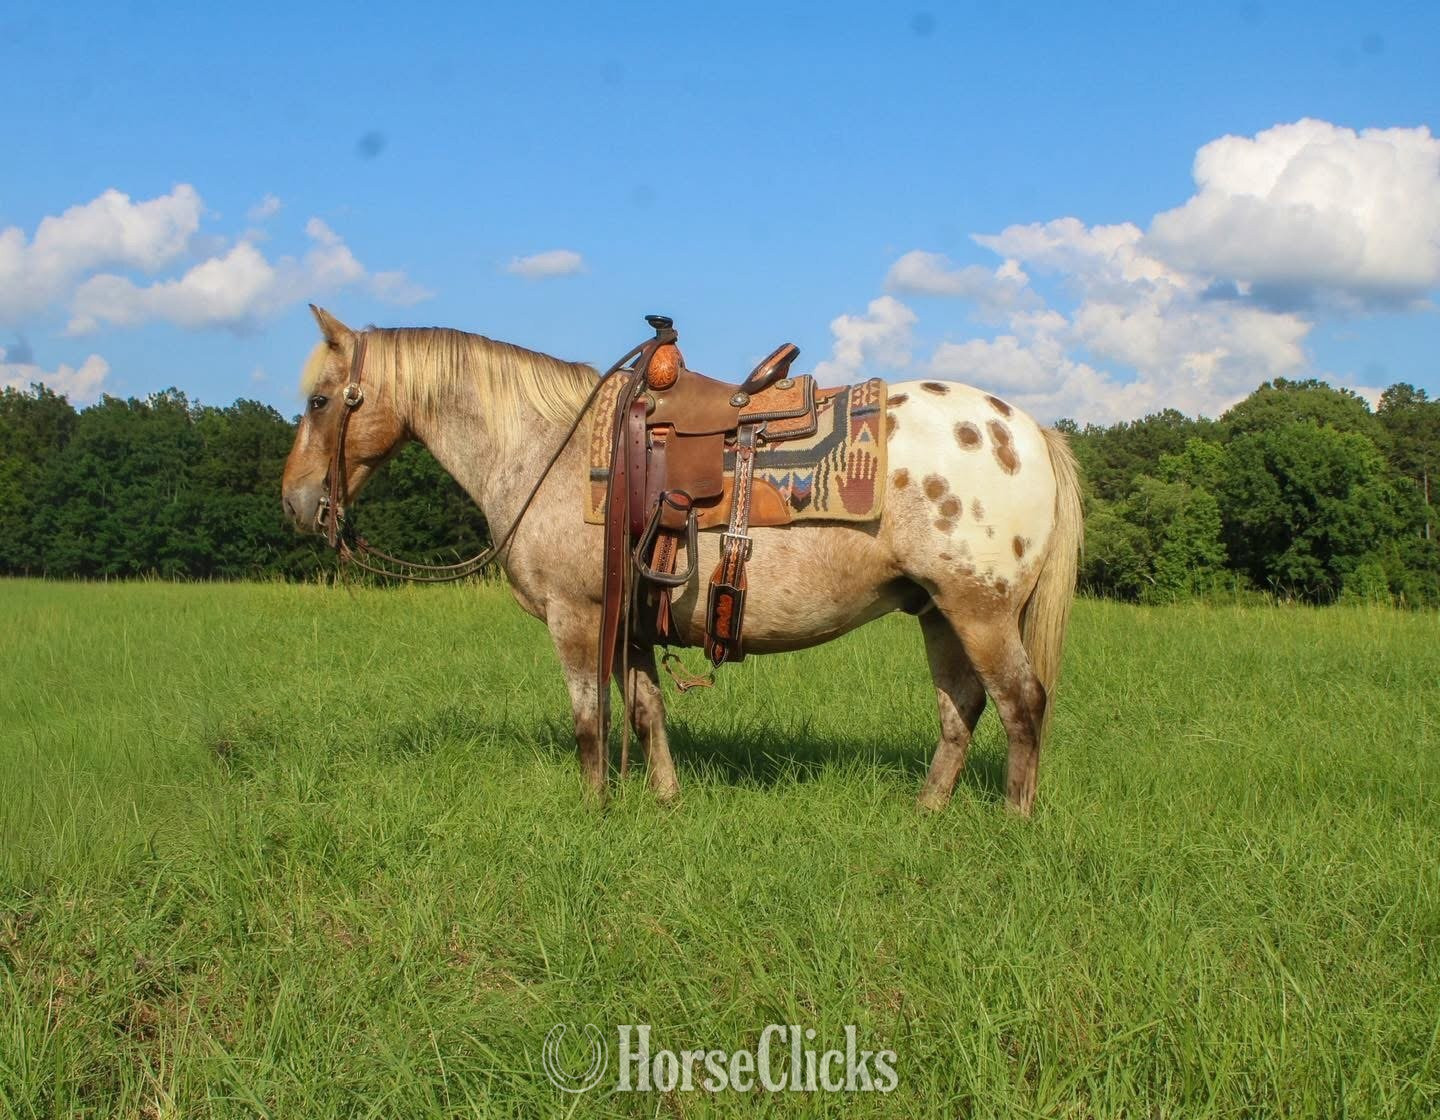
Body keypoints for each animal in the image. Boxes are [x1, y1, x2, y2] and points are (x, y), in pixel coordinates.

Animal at [281, 306, 1083, 815]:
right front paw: (663, 799)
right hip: (939, 612)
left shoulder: (579, 616)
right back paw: (926, 812)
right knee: (961, 710)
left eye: (321, 400)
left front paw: (595, 809)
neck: (550, 448)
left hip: (980, 610)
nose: (296, 503)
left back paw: (1013, 821)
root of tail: (1028, 428)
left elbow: (590, 720)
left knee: (1021, 705)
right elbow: (645, 710)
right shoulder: (632, 617)